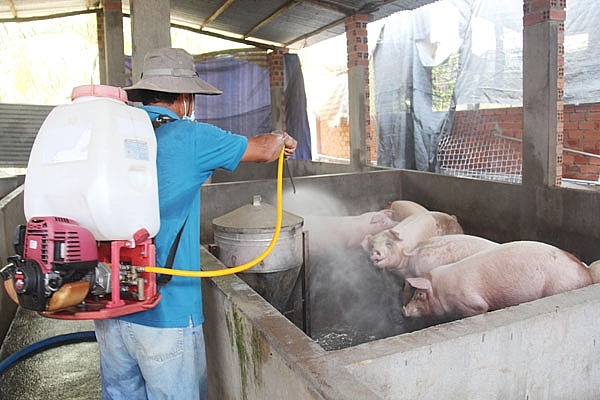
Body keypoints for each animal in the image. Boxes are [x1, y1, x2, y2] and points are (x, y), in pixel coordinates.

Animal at [400, 241, 592, 322]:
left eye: (420, 294)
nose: (403, 310)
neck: (441, 290)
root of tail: (586, 273)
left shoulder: (472, 303)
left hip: (559, 286)